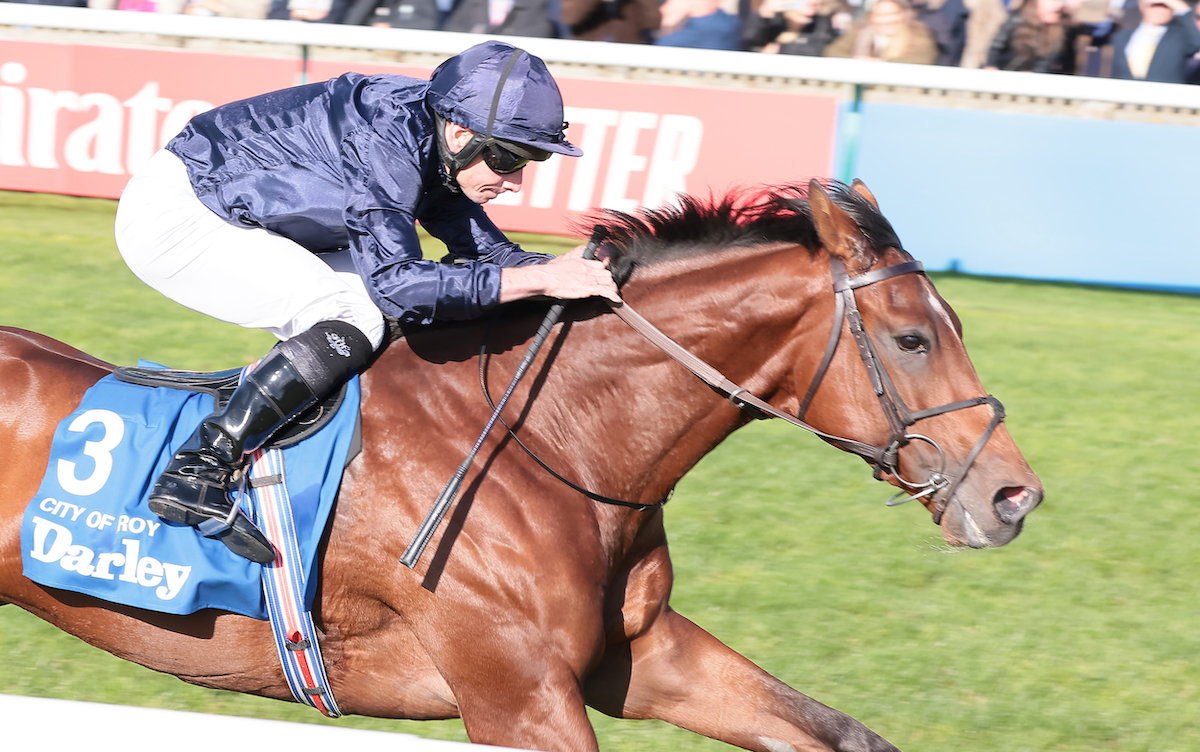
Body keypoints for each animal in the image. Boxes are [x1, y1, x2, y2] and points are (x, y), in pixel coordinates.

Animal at [0, 182, 1041, 752]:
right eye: (911, 339)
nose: (1013, 496)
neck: (558, 447)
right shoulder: (518, 698)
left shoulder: (636, 654)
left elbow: (837, 730)